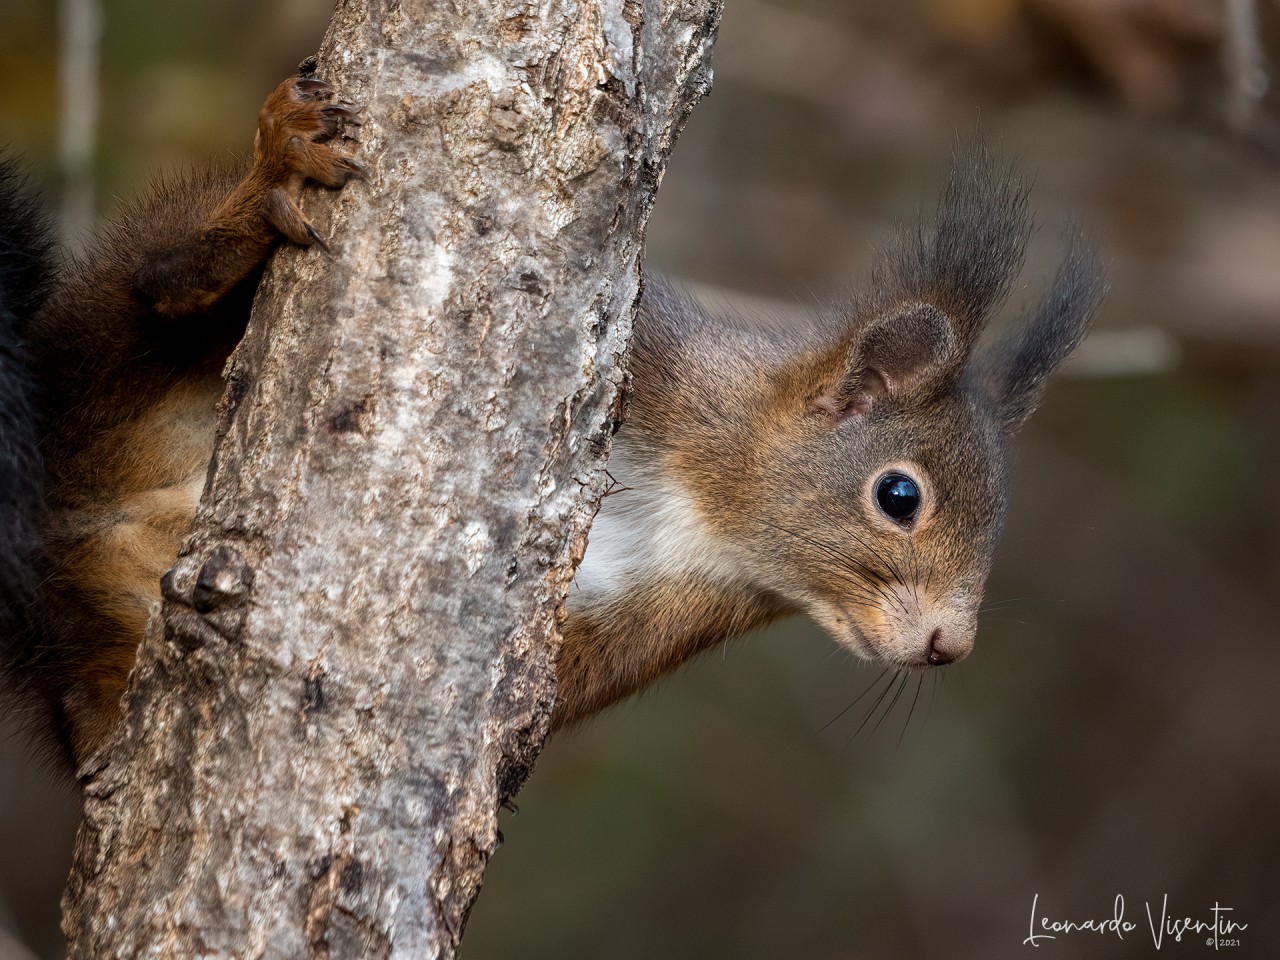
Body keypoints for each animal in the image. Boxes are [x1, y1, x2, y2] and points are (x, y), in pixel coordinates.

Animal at [0, 71, 1100, 773]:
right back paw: (260, 189)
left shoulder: (626, 635)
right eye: (898, 495)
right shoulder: (638, 364)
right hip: (108, 353)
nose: (948, 646)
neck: (700, 509)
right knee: (155, 288)